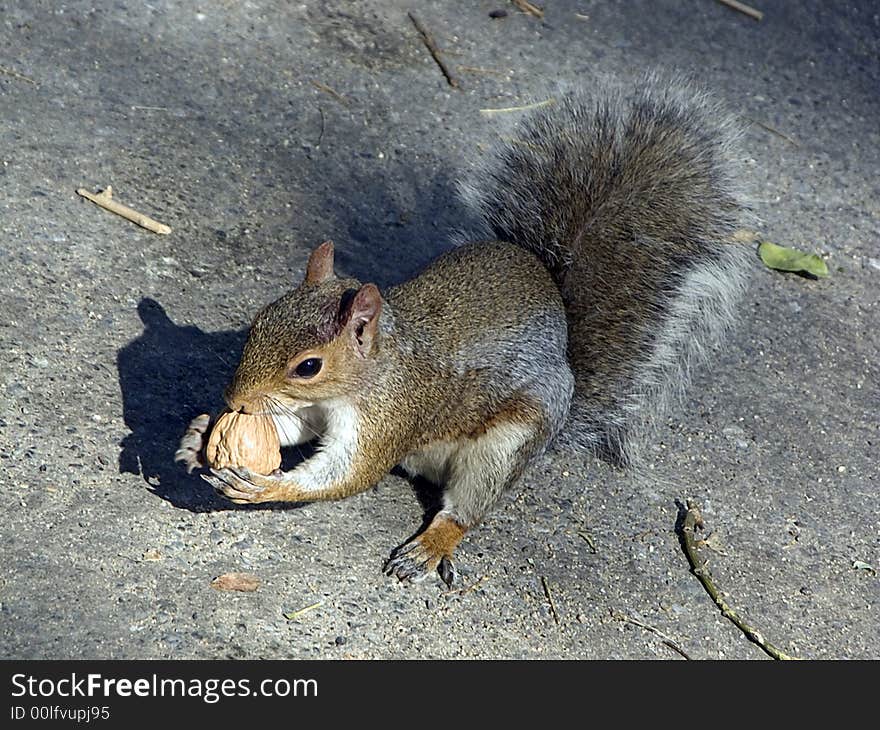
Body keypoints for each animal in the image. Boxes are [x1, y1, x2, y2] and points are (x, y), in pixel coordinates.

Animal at [177, 75, 748, 584]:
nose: (234, 399)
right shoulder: (315, 412)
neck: (371, 371)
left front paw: (265, 487)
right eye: (259, 321)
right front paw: (201, 435)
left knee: (467, 508)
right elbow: (290, 428)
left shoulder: (390, 416)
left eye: (309, 366)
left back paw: (430, 546)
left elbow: (348, 472)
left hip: (507, 445)